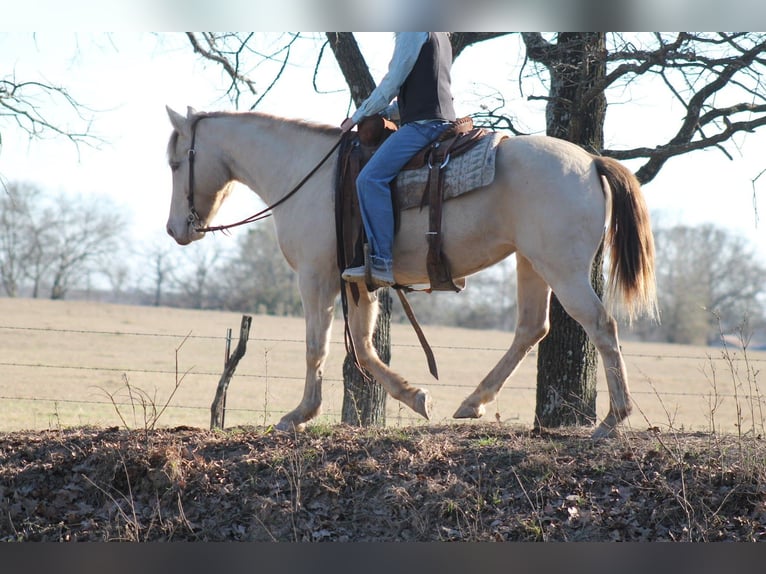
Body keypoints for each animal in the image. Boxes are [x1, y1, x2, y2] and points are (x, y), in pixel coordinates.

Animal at [164, 106, 658, 439]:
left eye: (175, 162)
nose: (174, 230)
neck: (306, 174)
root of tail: (591, 160)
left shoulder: (315, 276)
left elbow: (316, 347)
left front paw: (298, 415)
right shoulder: (358, 282)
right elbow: (363, 349)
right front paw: (416, 396)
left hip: (562, 268)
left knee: (601, 325)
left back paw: (613, 420)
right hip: (532, 263)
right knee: (531, 329)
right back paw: (473, 402)